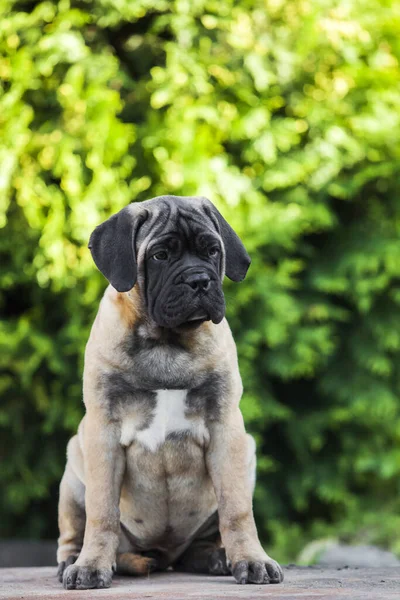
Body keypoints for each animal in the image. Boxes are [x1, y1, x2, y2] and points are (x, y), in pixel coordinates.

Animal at [57, 196, 284, 584]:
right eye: (160, 255)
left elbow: (237, 509)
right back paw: (72, 561)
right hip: (73, 471)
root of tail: (165, 556)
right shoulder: (102, 433)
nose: (199, 281)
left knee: (205, 538)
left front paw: (252, 560)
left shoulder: (227, 430)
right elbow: (102, 512)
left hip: (247, 453)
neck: (166, 341)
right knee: (74, 531)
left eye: (212, 251)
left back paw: (215, 558)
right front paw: (91, 565)